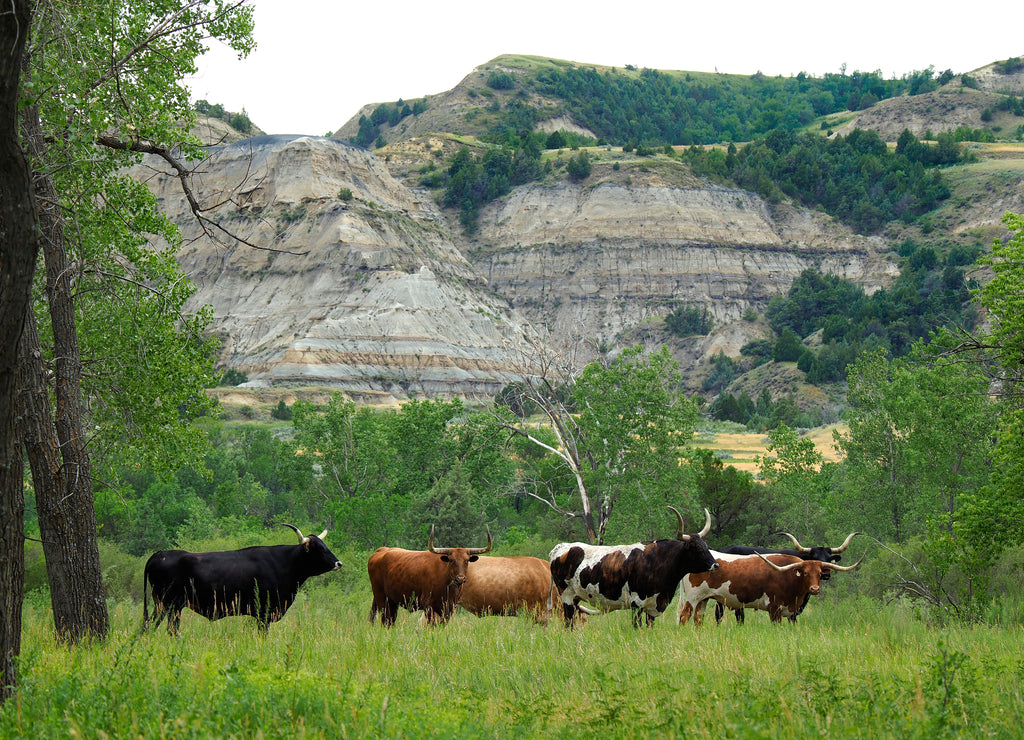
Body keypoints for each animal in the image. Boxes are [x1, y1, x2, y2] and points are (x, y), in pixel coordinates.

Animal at [142, 524, 342, 634]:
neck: (284, 563)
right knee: (169, 630)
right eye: (319, 549)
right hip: (171, 605)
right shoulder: (263, 612)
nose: (339, 563)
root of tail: (160, 554)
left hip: (164, 605)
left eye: (326, 545)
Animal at [679, 548, 864, 626]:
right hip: (692, 598)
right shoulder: (774, 609)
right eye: (805, 572)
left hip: (703, 599)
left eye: (819, 573)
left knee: (698, 619)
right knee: (684, 617)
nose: (815, 589)